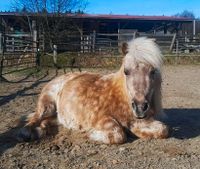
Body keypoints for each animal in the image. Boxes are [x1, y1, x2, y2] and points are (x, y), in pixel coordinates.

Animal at [18, 37, 169, 144]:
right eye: (126, 71)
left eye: (153, 72)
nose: (140, 107)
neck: (120, 97)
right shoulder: (100, 118)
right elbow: (118, 134)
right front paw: (90, 133)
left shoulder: (143, 120)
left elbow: (163, 130)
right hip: (47, 106)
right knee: (34, 119)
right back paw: (27, 133)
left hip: (58, 115)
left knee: (47, 122)